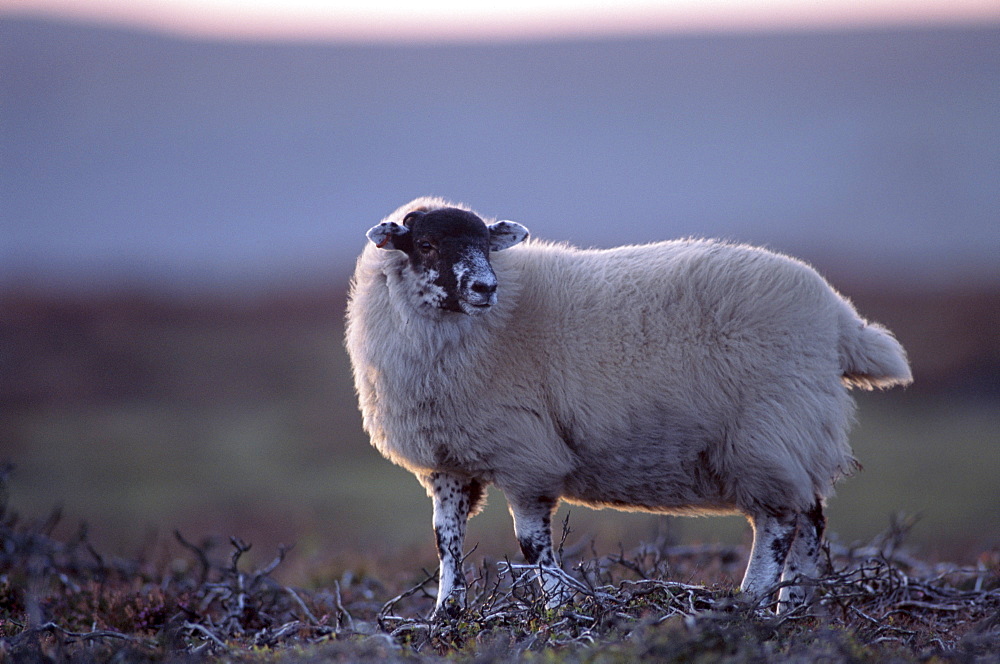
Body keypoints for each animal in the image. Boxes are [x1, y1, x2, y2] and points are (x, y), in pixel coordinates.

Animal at [346, 197, 916, 616]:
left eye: (486, 243)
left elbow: (531, 545)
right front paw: (446, 615)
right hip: (796, 438)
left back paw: (751, 603)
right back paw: (790, 611)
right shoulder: (446, 460)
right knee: (810, 523)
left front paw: (557, 609)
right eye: (425, 244)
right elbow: (446, 540)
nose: (486, 287)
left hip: (768, 432)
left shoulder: (526, 456)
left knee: (779, 525)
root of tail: (839, 319)